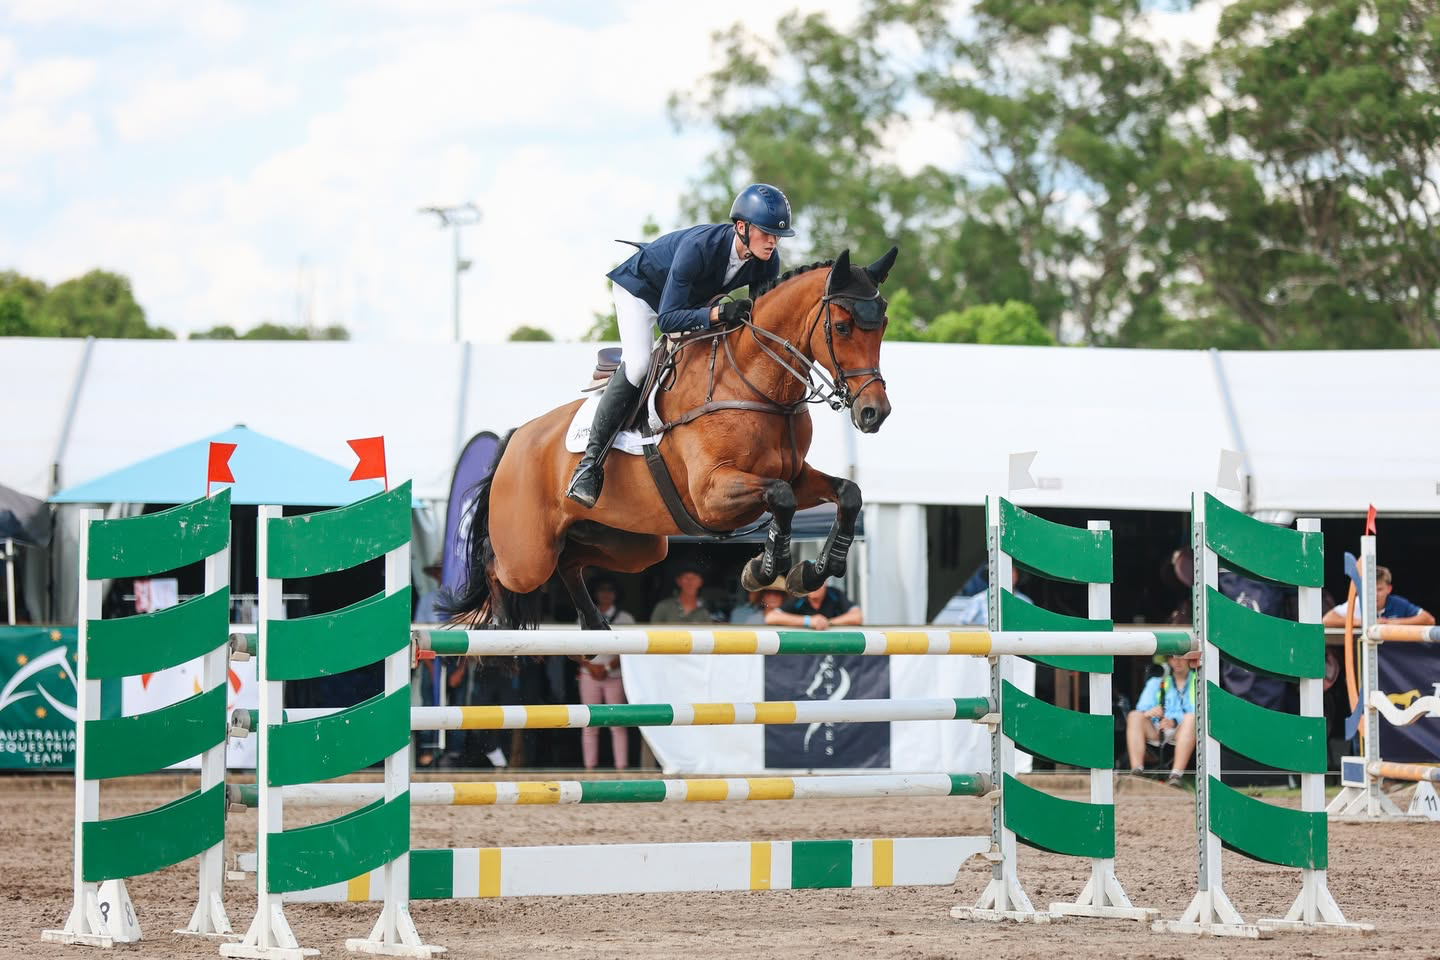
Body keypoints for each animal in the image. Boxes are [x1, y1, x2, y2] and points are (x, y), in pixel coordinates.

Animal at [447, 246, 898, 631]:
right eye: (841, 327)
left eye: (883, 326)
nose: (874, 413)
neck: (756, 385)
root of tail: (515, 438)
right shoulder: (712, 495)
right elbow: (781, 497)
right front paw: (763, 570)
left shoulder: (796, 473)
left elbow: (847, 493)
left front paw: (811, 572)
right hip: (528, 553)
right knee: (497, 566)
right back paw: (503, 626)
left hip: (633, 543)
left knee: (570, 561)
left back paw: (593, 625)